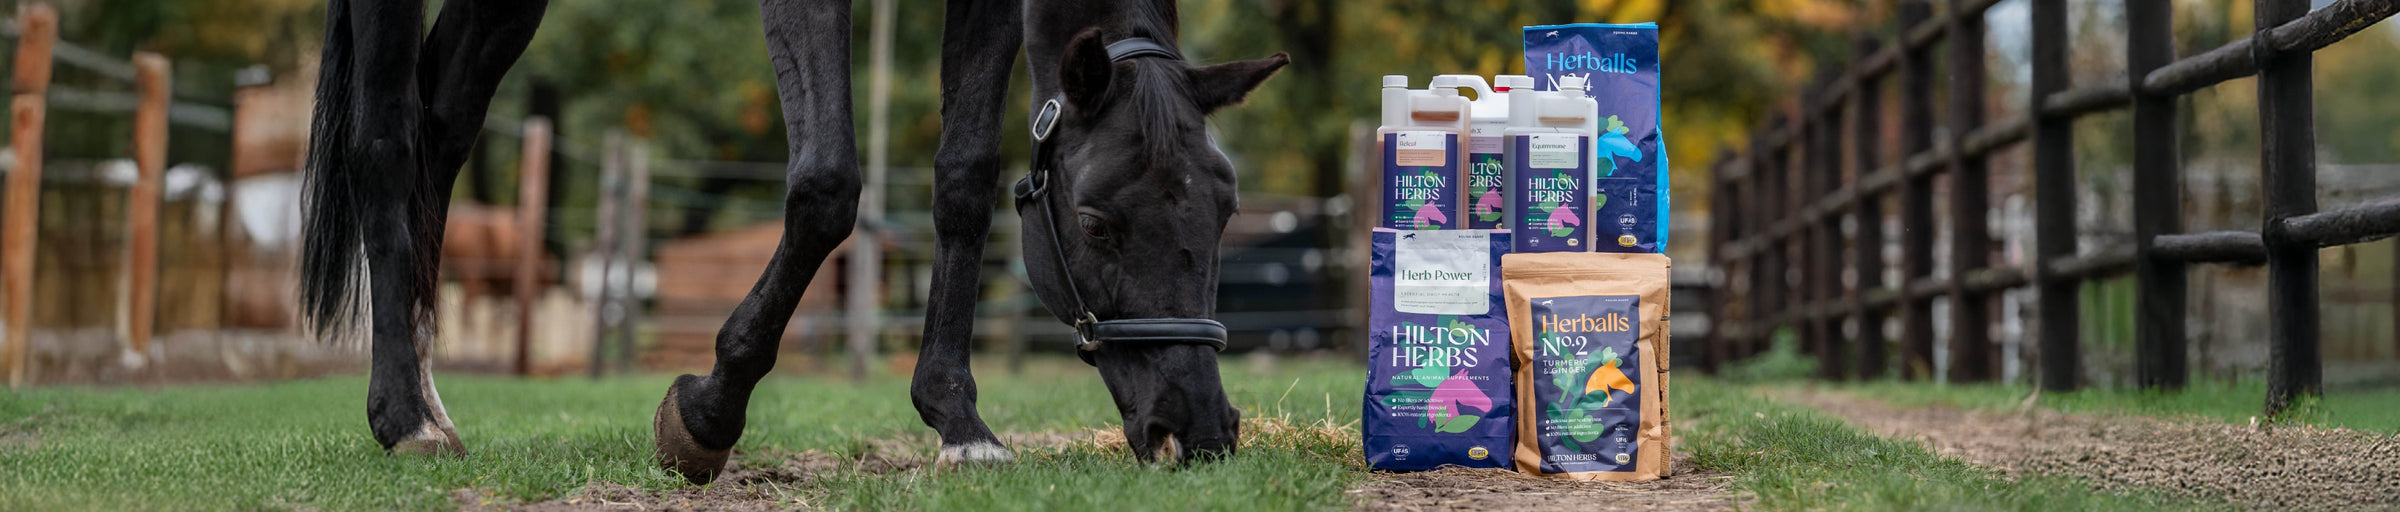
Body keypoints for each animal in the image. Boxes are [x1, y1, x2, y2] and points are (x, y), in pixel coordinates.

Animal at [297, 0, 1286, 485]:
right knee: (386, 143)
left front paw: (958, 421)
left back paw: (430, 398)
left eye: (1225, 211)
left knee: (441, 132)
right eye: (1093, 223)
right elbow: (828, 186)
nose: (1200, 429)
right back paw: (404, 417)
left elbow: (963, 179)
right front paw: (707, 411)